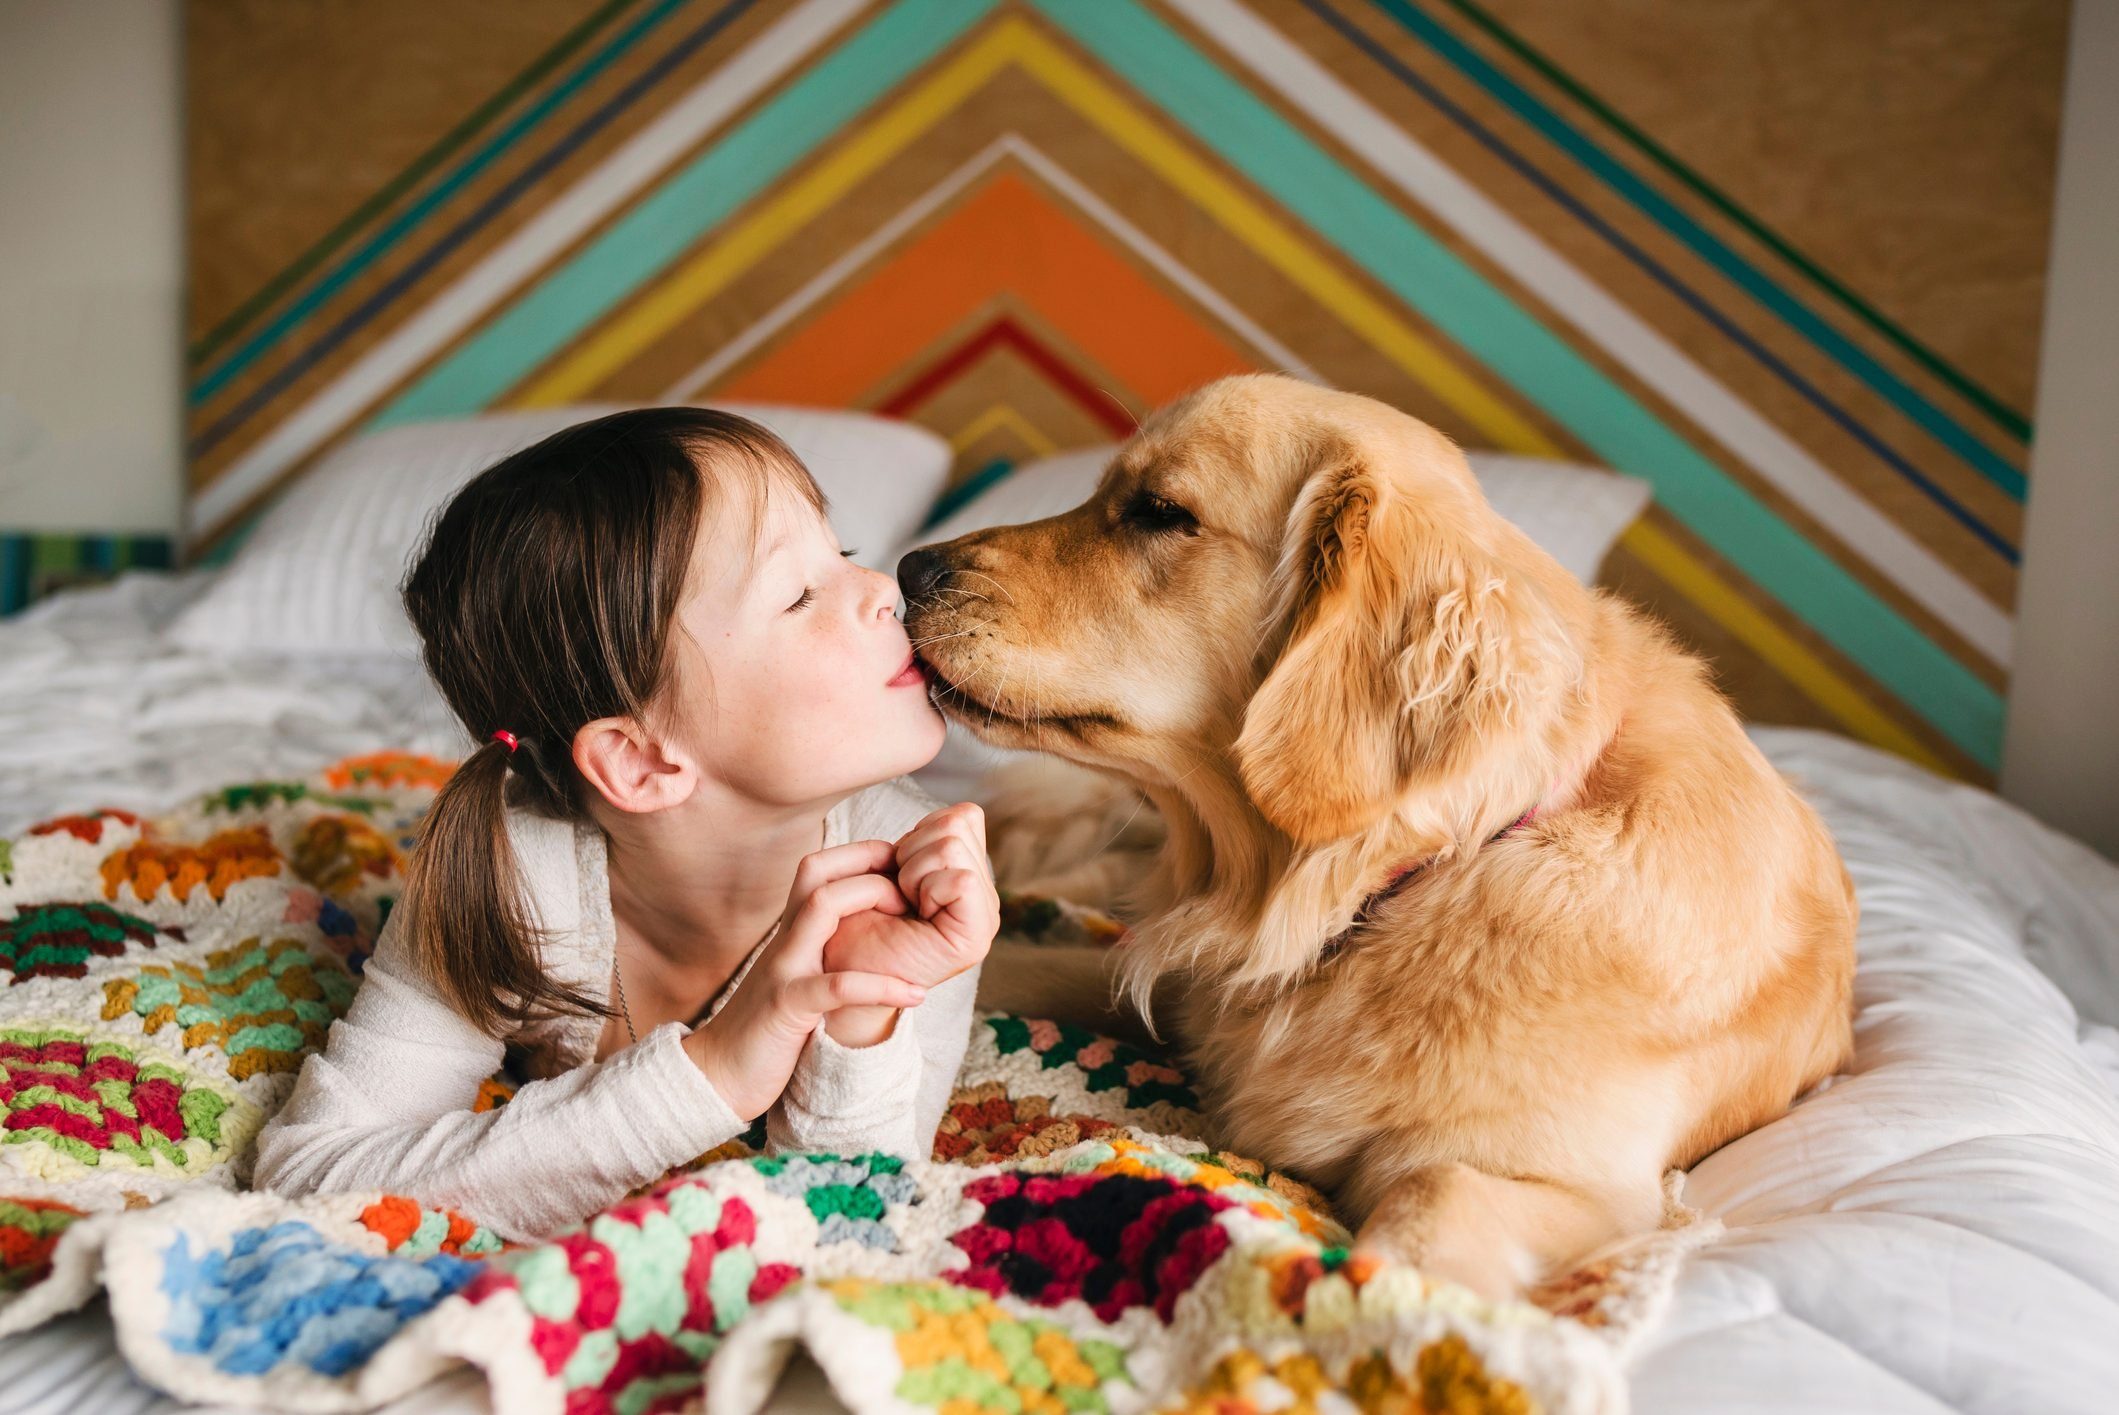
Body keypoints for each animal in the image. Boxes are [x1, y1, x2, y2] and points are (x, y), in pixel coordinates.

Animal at [898, 379, 1856, 1304]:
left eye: (1160, 511)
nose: (909, 567)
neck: (1416, 875)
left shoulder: (1600, 1194)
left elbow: (1433, 1191)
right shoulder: (1186, 981)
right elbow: (1017, 963)